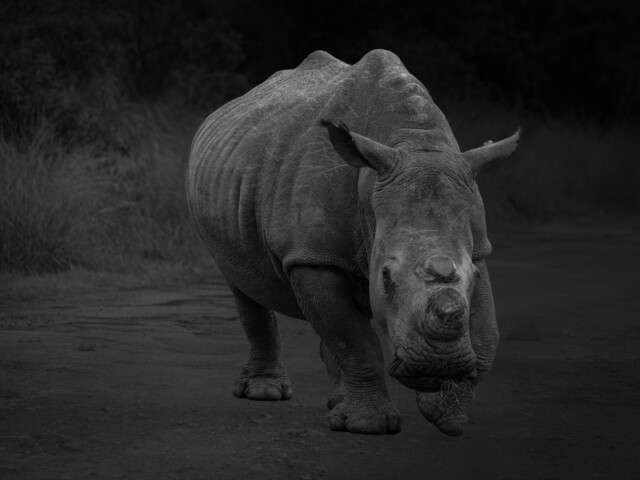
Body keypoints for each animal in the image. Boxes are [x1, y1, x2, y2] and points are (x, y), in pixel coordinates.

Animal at [187, 49, 519, 436]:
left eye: (473, 275)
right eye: (386, 277)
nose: (436, 364)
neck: (412, 142)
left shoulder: (478, 247)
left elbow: (486, 336)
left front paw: (445, 414)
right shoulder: (313, 255)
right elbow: (354, 339)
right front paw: (368, 425)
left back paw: (337, 404)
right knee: (244, 285)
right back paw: (265, 393)